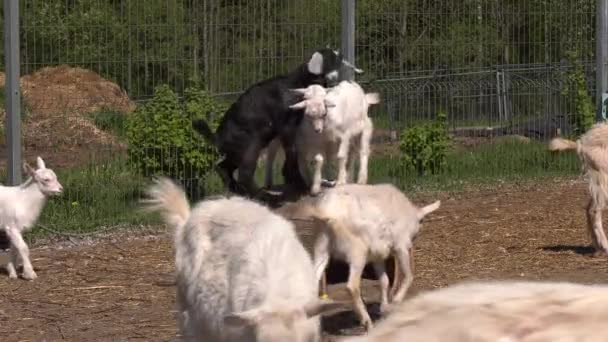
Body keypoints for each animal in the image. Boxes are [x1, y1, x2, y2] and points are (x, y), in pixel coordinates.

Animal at [192, 47, 354, 199]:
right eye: (333, 58)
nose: (341, 53)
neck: (298, 83)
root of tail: (217, 136)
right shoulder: (286, 127)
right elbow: (292, 151)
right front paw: (299, 184)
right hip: (250, 146)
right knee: (244, 173)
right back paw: (264, 196)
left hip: (236, 151)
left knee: (223, 167)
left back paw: (238, 190)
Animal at [312, 183, 440, 330]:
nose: (412, 243)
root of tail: (328, 210)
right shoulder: (400, 245)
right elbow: (409, 276)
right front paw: (396, 301)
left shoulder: (378, 255)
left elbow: (384, 280)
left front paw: (384, 308)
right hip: (357, 251)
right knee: (352, 285)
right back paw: (366, 321)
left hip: (321, 245)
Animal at [548, 122, 608, 254]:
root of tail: (582, 144)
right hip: (603, 178)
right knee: (594, 210)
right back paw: (605, 246)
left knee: (589, 209)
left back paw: (598, 247)